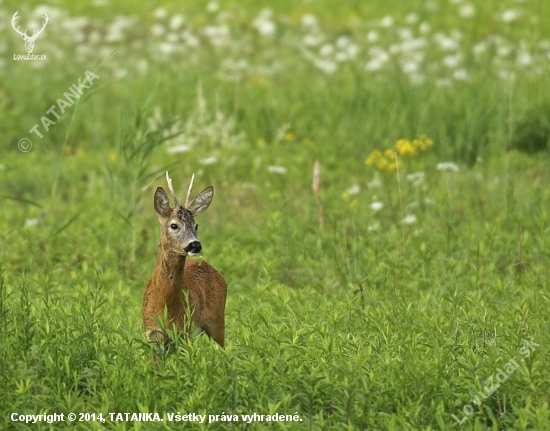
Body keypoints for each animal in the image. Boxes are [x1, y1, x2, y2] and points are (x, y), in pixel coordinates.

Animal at [144, 173, 229, 352]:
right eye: (174, 225)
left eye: (196, 225)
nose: (195, 245)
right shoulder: (152, 335)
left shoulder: (183, 334)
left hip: (217, 320)